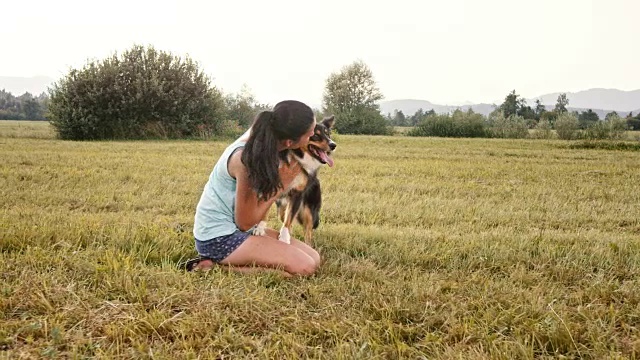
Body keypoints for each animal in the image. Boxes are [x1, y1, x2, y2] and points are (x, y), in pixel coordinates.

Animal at [252, 115, 338, 245]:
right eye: (315, 135)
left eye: (328, 134)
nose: (333, 145)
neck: (295, 155)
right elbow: (266, 211)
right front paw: (260, 228)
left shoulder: (297, 193)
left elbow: (289, 219)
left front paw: (284, 238)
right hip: (282, 208)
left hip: (308, 211)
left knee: (307, 231)